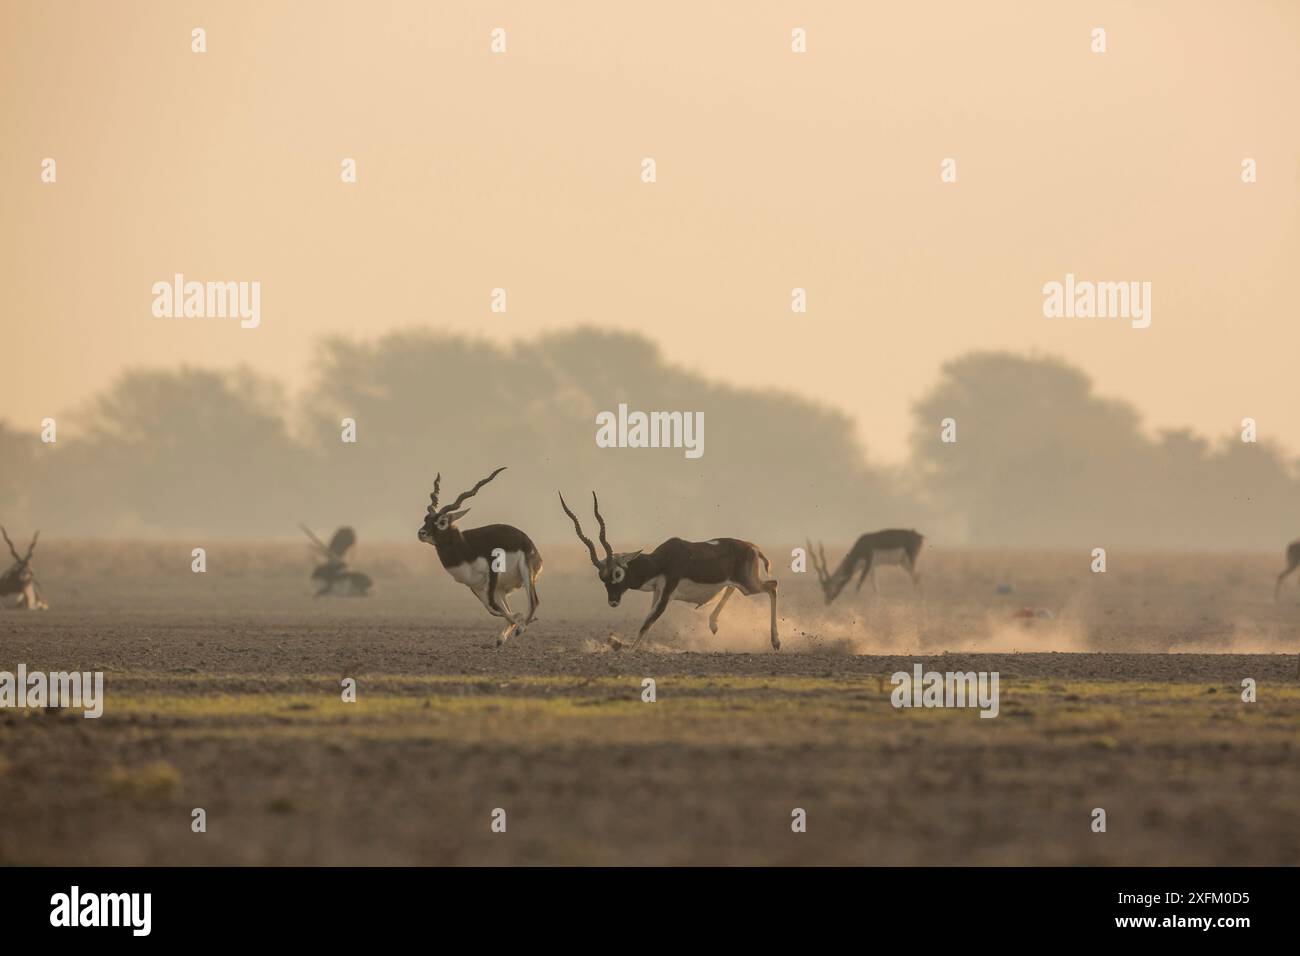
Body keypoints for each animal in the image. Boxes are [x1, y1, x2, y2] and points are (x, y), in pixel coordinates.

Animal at [418, 467, 542, 646]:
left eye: (442, 522)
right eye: (426, 519)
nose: (421, 533)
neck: (465, 549)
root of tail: (527, 541)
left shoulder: (492, 572)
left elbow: (494, 606)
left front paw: (519, 621)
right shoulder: (473, 585)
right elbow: (492, 609)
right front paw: (515, 621)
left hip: (525, 572)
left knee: (534, 601)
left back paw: (520, 627)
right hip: (500, 588)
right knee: (504, 606)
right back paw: (502, 637)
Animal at [558, 492, 779, 651]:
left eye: (617, 574)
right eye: (601, 577)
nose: (613, 601)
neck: (660, 561)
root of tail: (753, 546)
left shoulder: (667, 594)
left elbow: (647, 623)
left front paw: (628, 651)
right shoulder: (657, 592)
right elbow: (648, 621)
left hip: (749, 585)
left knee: (772, 586)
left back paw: (776, 642)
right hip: (739, 583)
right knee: (732, 588)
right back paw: (713, 625)